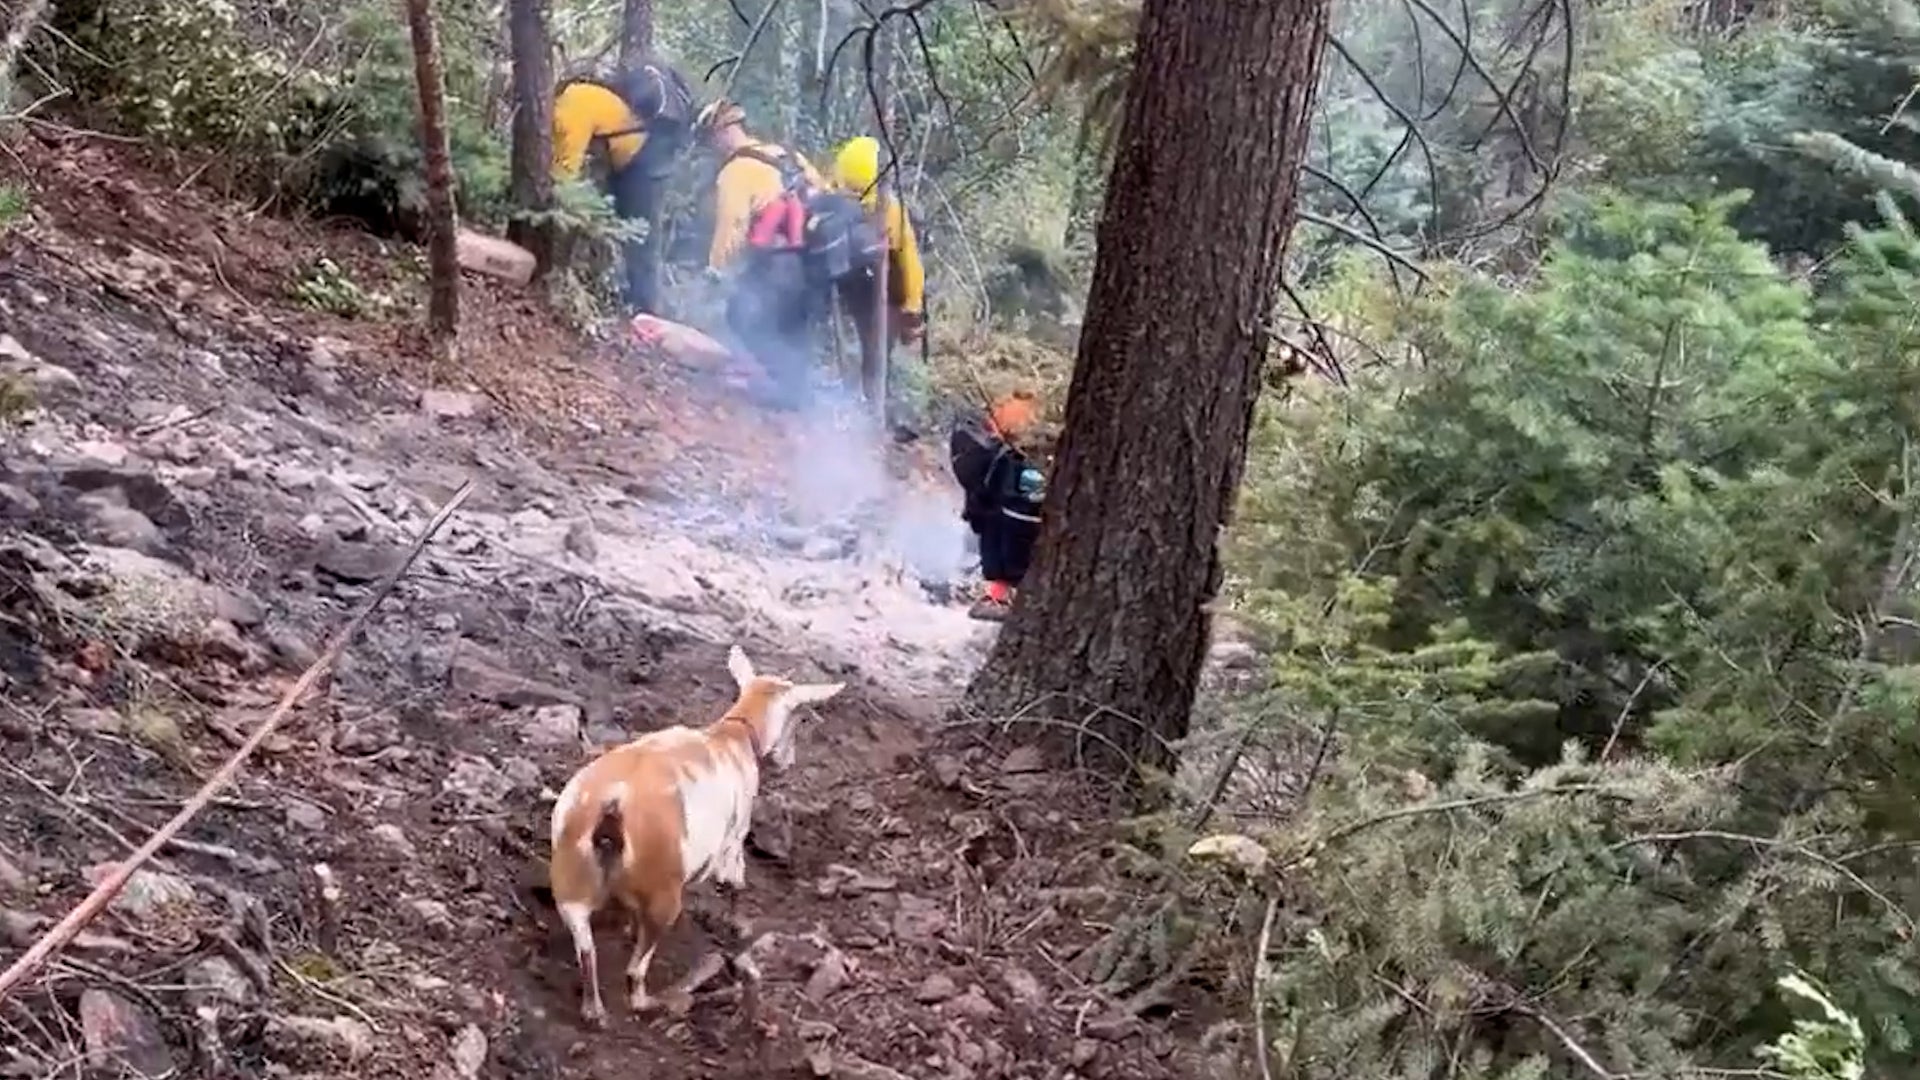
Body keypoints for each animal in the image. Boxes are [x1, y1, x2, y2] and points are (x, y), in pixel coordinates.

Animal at [546, 644, 844, 1027]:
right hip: (664, 894)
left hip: (571, 881)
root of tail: (612, 805)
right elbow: (735, 884)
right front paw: (740, 927)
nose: (788, 761)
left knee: (586, 950)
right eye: (799, 717)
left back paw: (593, 1010)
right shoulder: (734, 839)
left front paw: (628, 928)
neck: (733, 736)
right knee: (634, 970)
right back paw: (647, 1001)